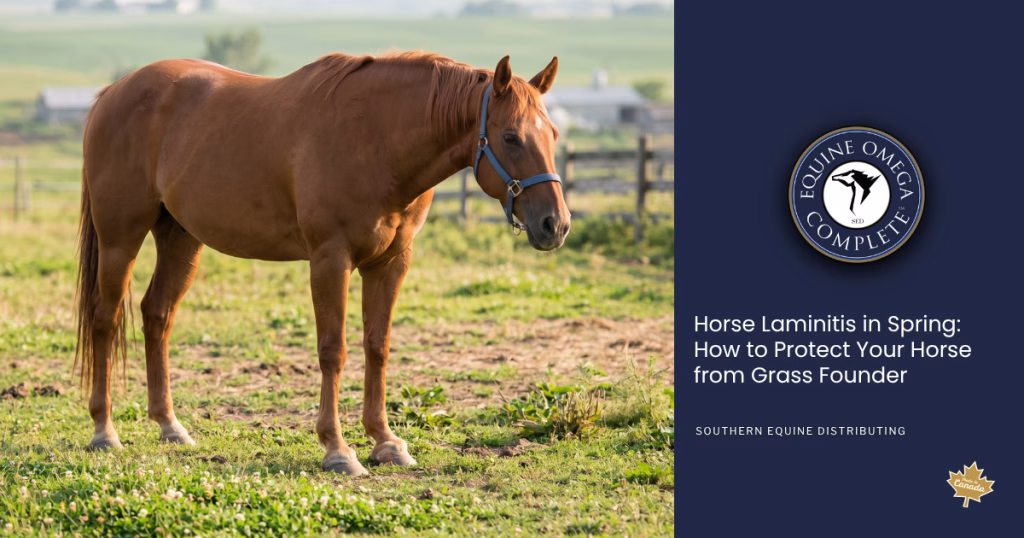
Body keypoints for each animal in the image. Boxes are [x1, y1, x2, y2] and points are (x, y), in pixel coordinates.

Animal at [74, 51, 570, 475]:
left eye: (553, 135)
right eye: (511, 137)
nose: (556, 224)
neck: (376, 138)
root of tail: (113, 92)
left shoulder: (390, 263)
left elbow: (377, 346)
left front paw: (385, 441)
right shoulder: (330, 260)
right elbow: (334, 350)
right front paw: (337, 449)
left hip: (180, 239)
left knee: (157, 315)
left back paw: (169, 425)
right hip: (120, 239)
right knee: (105, 318)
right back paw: (104, 430)